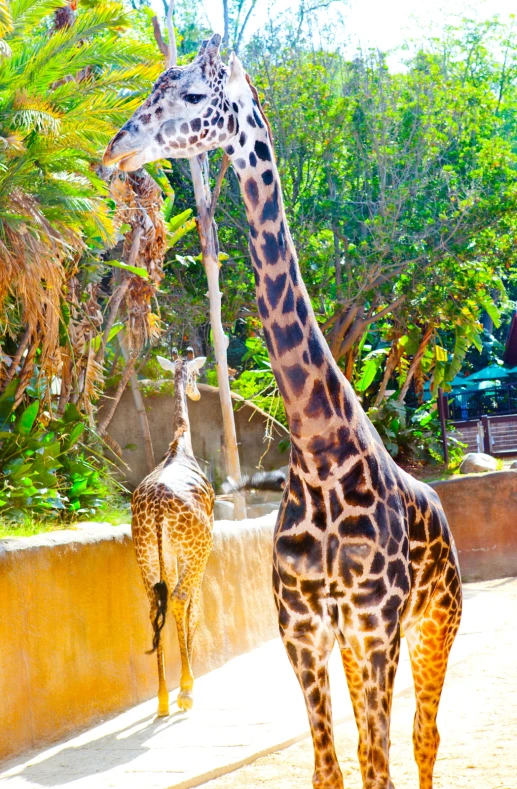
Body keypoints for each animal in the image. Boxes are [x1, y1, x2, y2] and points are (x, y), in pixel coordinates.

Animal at [104, 35, 460, 788]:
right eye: (152, 89)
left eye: (189, 96)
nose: (117, 149)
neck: (320, 444)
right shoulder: (303, 629)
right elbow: (332, 769)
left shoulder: (375, 625)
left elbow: (379, 761)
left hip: (435, 622)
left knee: (425, 737)